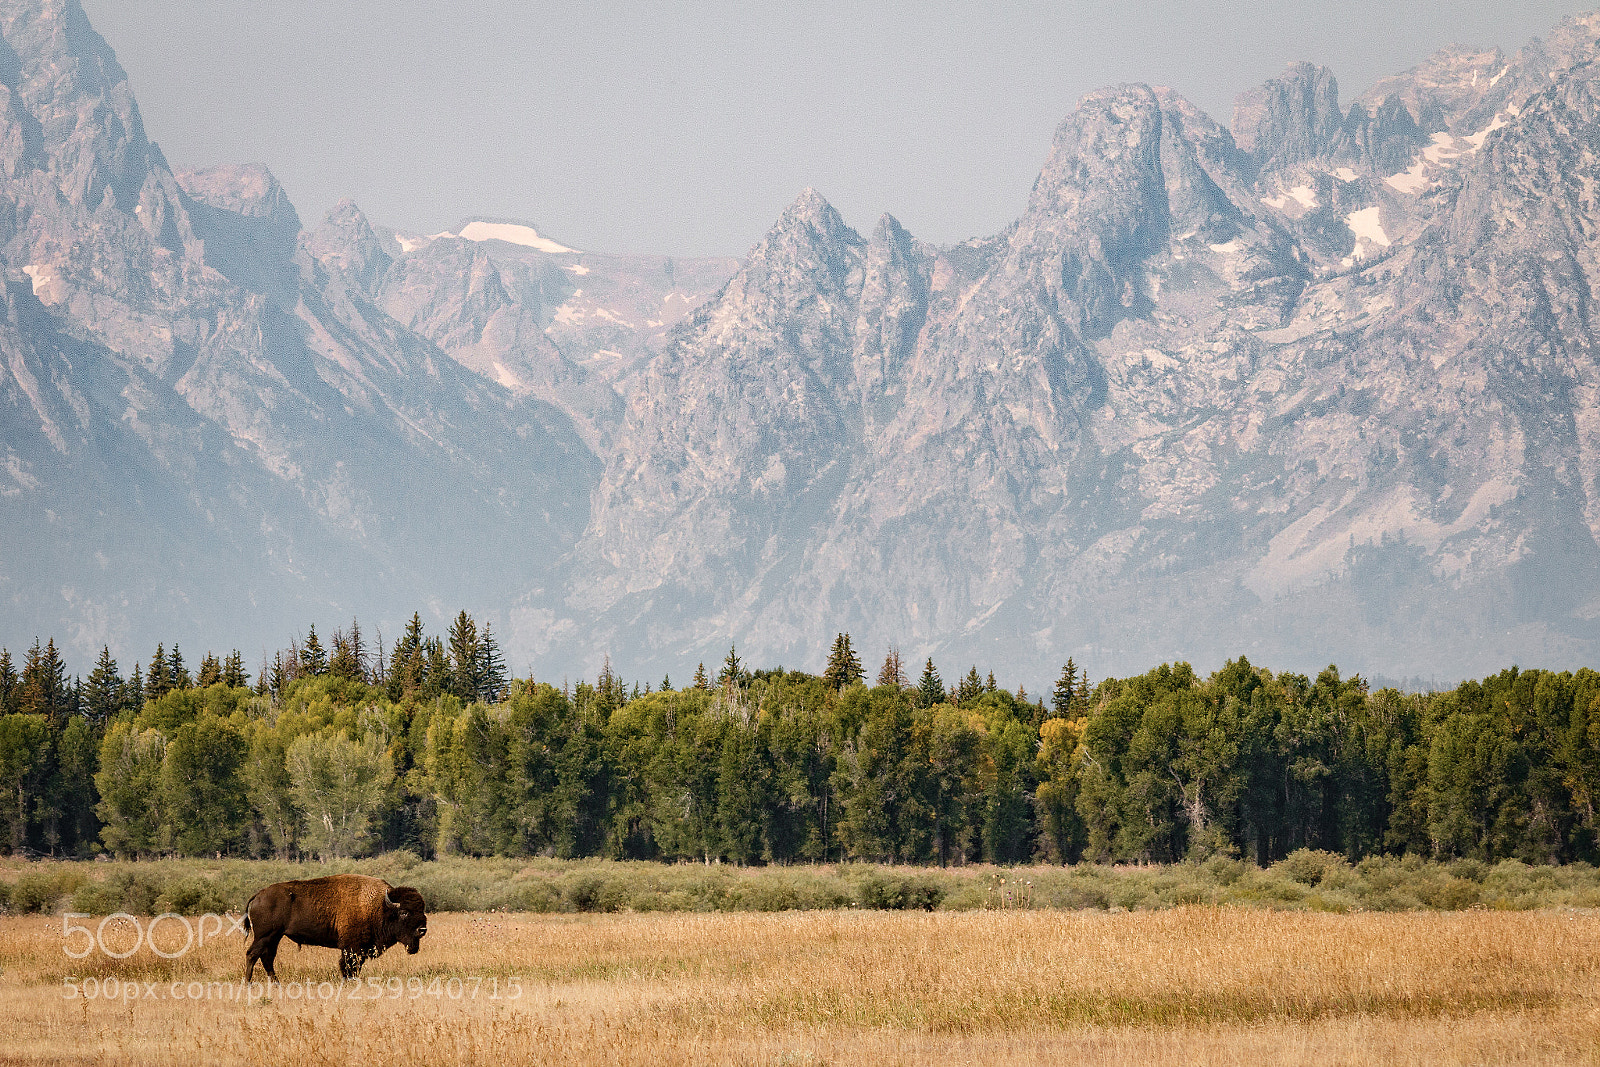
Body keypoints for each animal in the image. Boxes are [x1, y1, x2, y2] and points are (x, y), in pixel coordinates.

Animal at [243, 874, 427, 981]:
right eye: (404, 912)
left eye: (422, 910)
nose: (422, 929)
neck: (380, 906)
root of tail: (258, 895)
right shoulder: (352, 947)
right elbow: (348, 966)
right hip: (265, 936)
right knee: (252, 955)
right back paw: (248, 983)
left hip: (275, 937)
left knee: (267, 958)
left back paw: (276, 984)